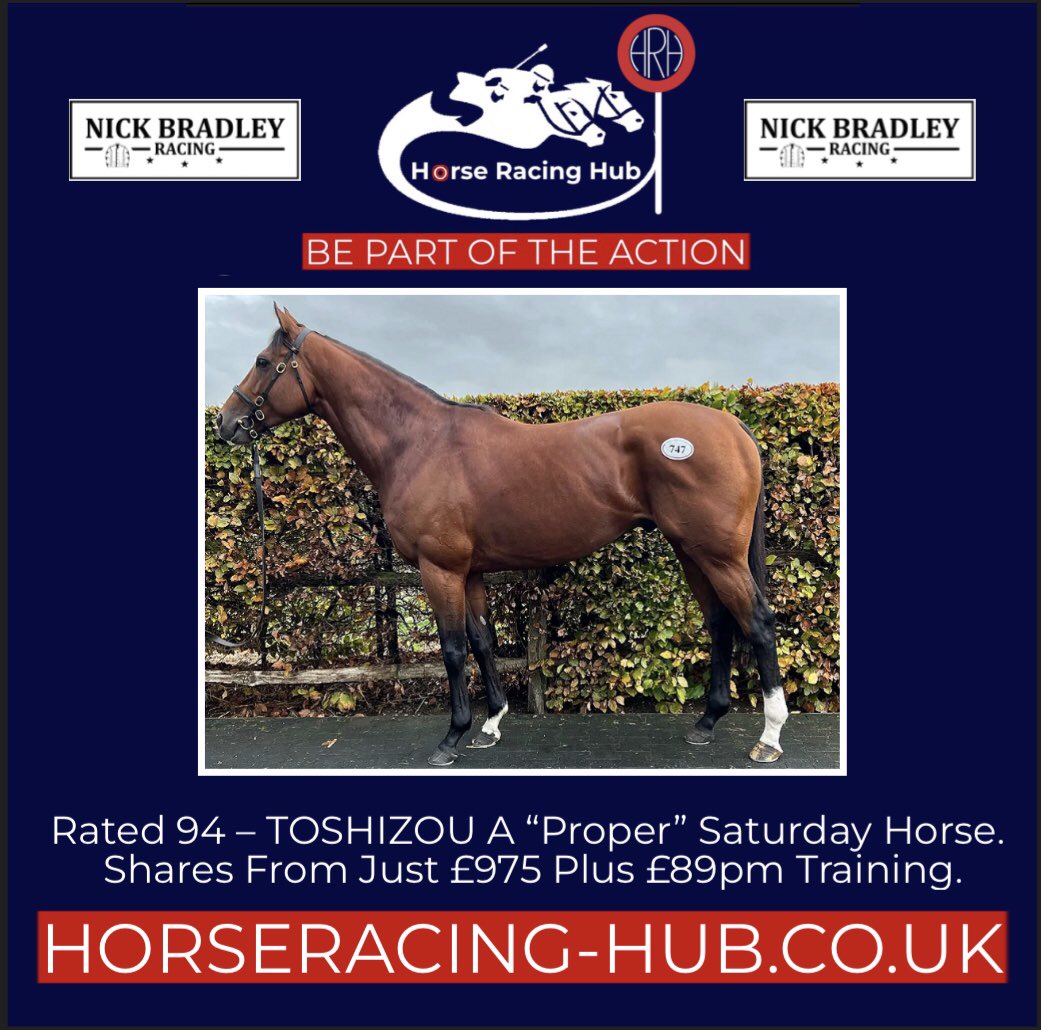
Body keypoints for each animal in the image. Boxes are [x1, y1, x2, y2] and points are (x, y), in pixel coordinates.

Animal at [214, 306, 789, 768]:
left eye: (263, 362)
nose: (227, 422)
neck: (418, 442)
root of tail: (734, 427)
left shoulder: (439, 569)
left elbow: (451, 649)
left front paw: (452, 738)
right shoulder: (469, 572)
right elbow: (483, 640)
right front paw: (490, 725)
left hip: (718, 555)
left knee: (758, 624)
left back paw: (769, 737)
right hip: (692, 552)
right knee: (721, 624)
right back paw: (707, 724)